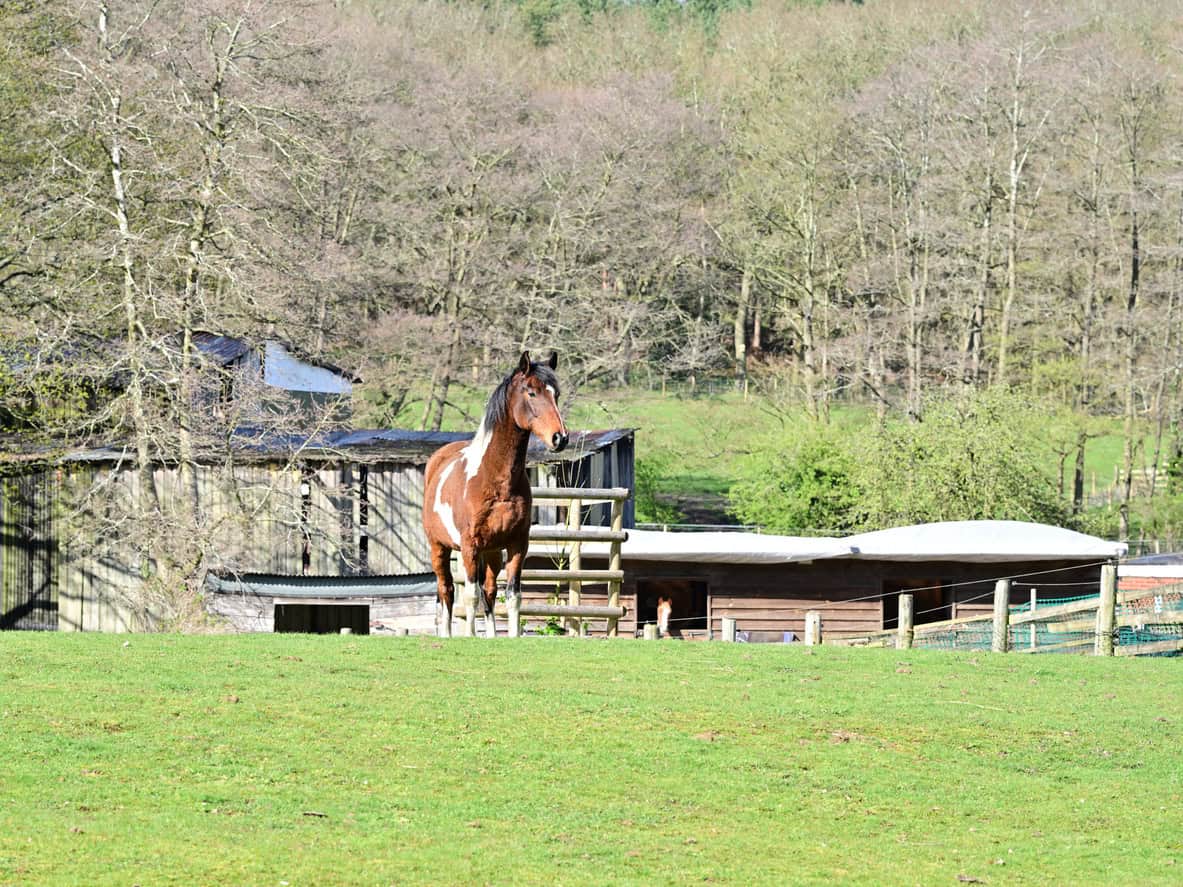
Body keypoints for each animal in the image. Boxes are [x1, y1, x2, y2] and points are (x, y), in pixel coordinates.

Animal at [422, 351, 569, 637]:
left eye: (555, 394)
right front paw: (470, 636)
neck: (496, 480)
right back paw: (447, 634)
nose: (560, 438)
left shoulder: (517, 545)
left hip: (491, 553)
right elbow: (470, 596)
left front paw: (511, 636)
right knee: (447, 590)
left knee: (488, 591)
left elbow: (512, 596)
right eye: (531, 392)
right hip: (439, 548)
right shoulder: (469, 546)